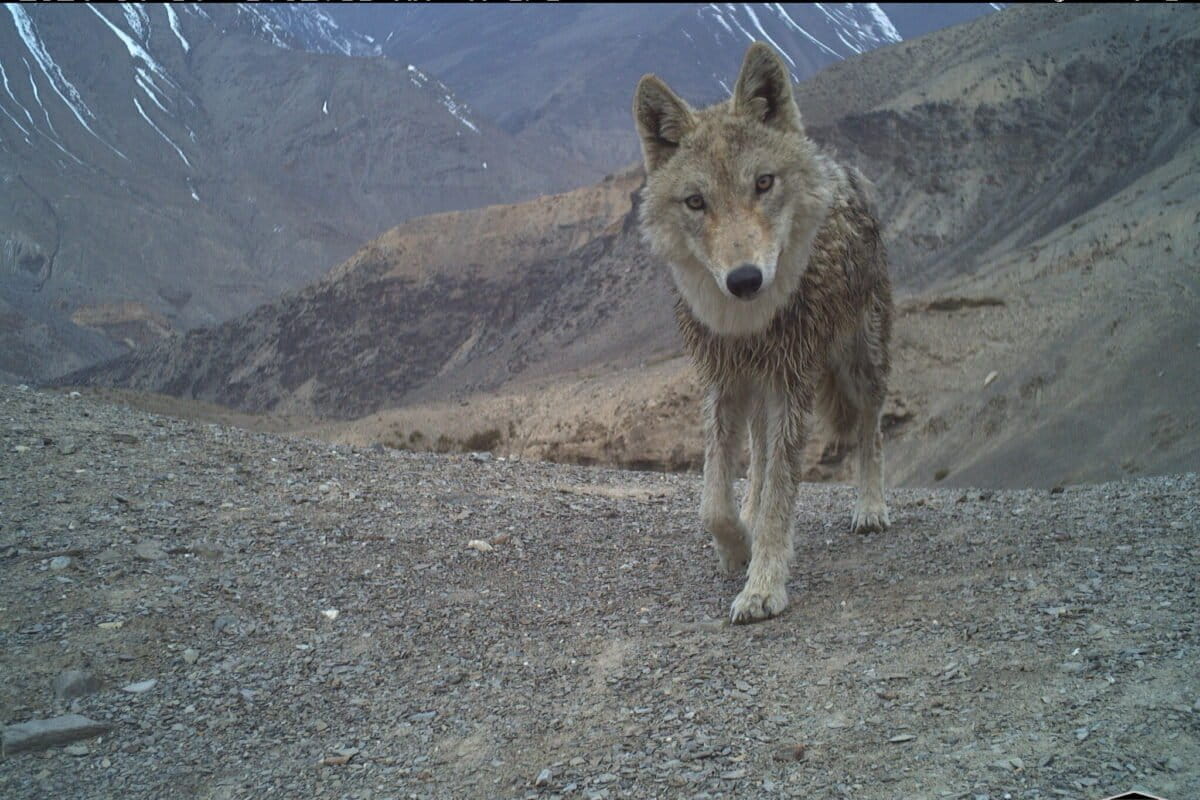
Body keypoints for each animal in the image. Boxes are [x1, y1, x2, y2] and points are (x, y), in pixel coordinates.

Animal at [633, 42, 894, 624]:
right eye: (696, 202)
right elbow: (714, 499)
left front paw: (763, 587)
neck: (746, 324)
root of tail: (839, 165)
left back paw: (870, 507)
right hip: (759, 388)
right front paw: (737, 547)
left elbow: (781, 491)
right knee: (755, 453)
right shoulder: (722, 382)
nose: (745, 279)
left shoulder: (793, 385)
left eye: (763, 183)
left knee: (869, 427)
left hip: (858, 361)